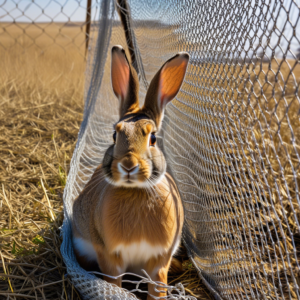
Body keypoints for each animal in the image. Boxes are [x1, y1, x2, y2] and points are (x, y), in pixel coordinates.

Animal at [72, 45, 189, 298]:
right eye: (114, 135)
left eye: (153, 138)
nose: (127, 165)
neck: (137, 191)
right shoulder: (109, 257)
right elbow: (113, 283)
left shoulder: (159, 261)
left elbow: (158, 286)